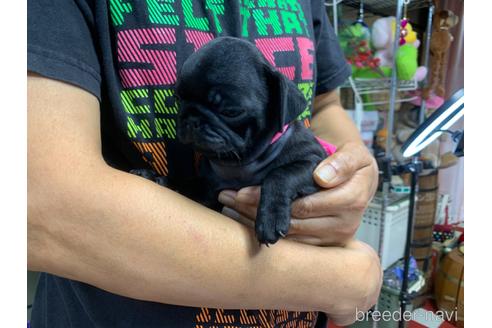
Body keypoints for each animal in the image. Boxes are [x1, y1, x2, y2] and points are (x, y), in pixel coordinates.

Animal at [177, 37, 330, 245]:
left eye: (230, 111)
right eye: (179, 99)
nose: (192, 119)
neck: (242, 162)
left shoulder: (313, 163)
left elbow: (281, 174)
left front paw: (271, 218)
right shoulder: (208, 190)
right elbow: (190, 186)